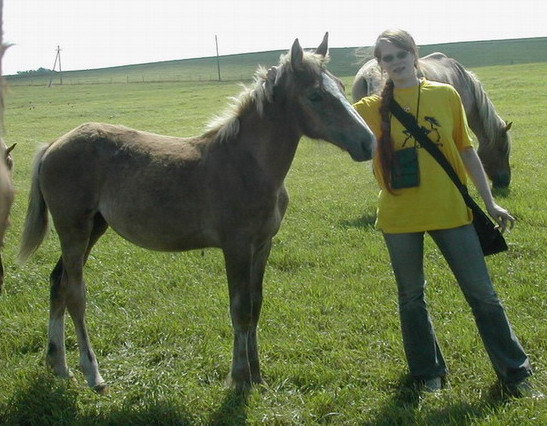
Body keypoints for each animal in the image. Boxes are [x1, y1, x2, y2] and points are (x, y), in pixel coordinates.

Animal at [18, 34, 376, 392]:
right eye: (315, 95)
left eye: (341, 87)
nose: (369, 143)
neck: (246, 165)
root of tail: (52, 145)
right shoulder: (236, 246)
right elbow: (240, 308)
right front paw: (240, 378)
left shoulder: (263, 244)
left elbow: (256, 305)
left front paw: (257, 375)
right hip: (74, 228)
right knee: (75, 293)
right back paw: (92, 372)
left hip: (94, 227)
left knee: (57, 281)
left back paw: (58, 363)